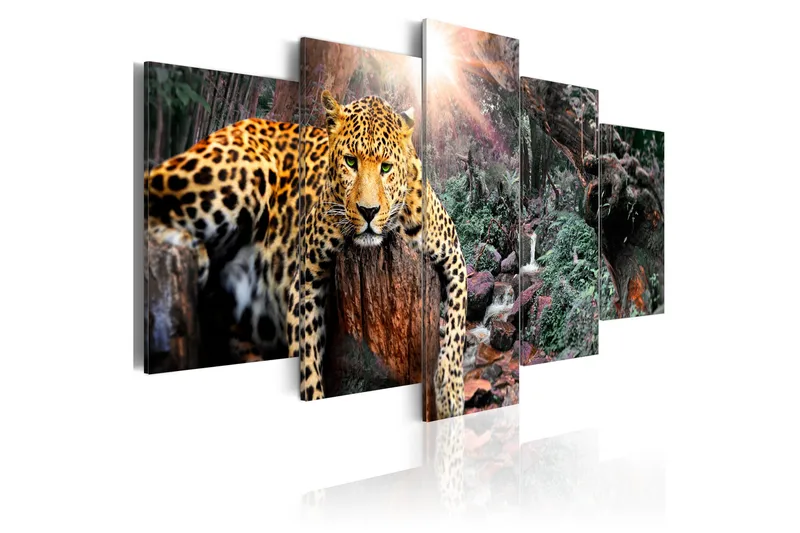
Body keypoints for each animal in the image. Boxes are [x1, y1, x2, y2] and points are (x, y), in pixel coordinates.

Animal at [145, 90, 467, 419]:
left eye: (386, 167)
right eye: (350, 161)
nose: (368, 211)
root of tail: (239, 124)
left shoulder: (454, 256)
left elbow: (457, 325)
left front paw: (451, 392)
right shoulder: (306, 279)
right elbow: (307, 357)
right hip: (239, 172)